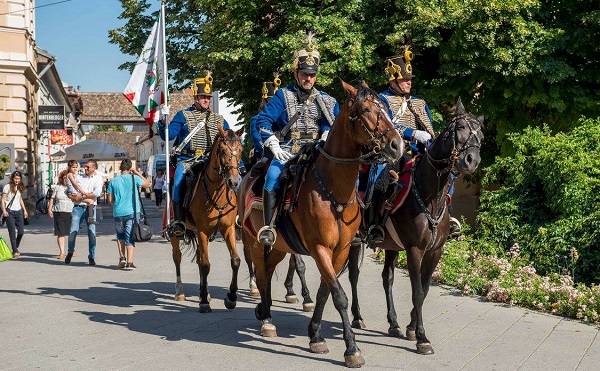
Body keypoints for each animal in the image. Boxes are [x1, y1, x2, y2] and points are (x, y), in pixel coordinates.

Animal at [170, 125, 245, 314]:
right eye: (223, 150)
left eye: (240, 149)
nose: (233, 181)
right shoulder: (203, 231)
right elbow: (205, 265)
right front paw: (204, 302)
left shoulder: (228, 229)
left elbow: (235, 260)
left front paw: (231, 297)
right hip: (176, 232)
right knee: (177, 257)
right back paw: (180, 291)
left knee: (198, 257)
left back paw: (203, 291)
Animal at [238, 80, 404, 368]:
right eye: (365, 109)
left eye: (384, 107)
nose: (397, 145)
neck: (333, 190)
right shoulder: (320, 249)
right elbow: (339, 295)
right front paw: (352, 349)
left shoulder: (341, 250)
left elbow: (325, 292)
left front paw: (315, 335)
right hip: (254, 241)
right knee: (259, 273)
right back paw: (267, 320)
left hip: (281, 246)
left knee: (267, 271)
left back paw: (265, 309)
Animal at [346, 98, 482, 354]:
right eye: (460, 128)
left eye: (482, 134)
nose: (472, 160)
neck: (430, 195)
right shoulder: (414, 249)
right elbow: (417, 291)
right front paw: (421, 337)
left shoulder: (435, 251)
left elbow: (425, 289)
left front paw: (410, 327)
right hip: (354, 241)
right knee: (353, 275)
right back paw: (357, 317)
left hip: (390, 246)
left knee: (387, 277)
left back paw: (393, 323)